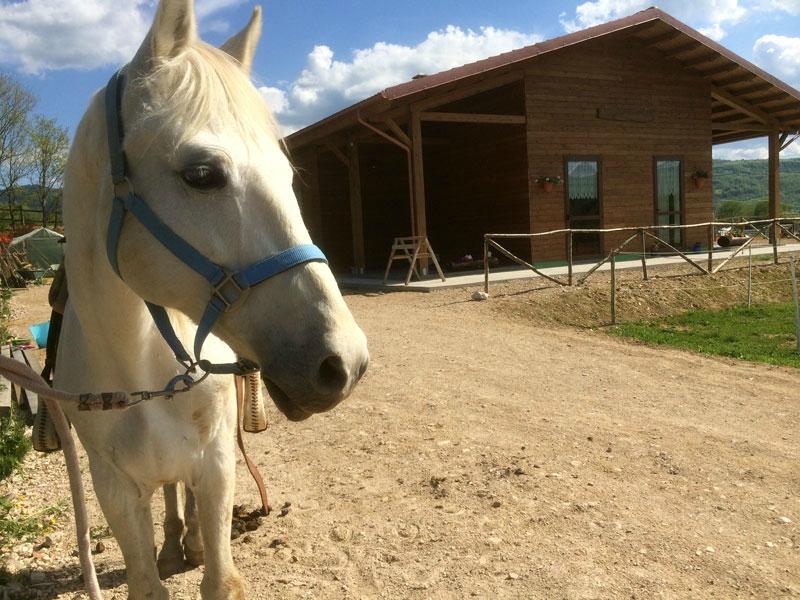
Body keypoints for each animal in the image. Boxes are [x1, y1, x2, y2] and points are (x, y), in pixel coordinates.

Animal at [56, 2, 368, 596]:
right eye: (202, 174)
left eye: (288, 176)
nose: (345, 361)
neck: (140, 374)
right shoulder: (114, 487)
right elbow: (146, 579)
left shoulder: (217, 463)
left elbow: (220, 574)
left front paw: (202, 548)